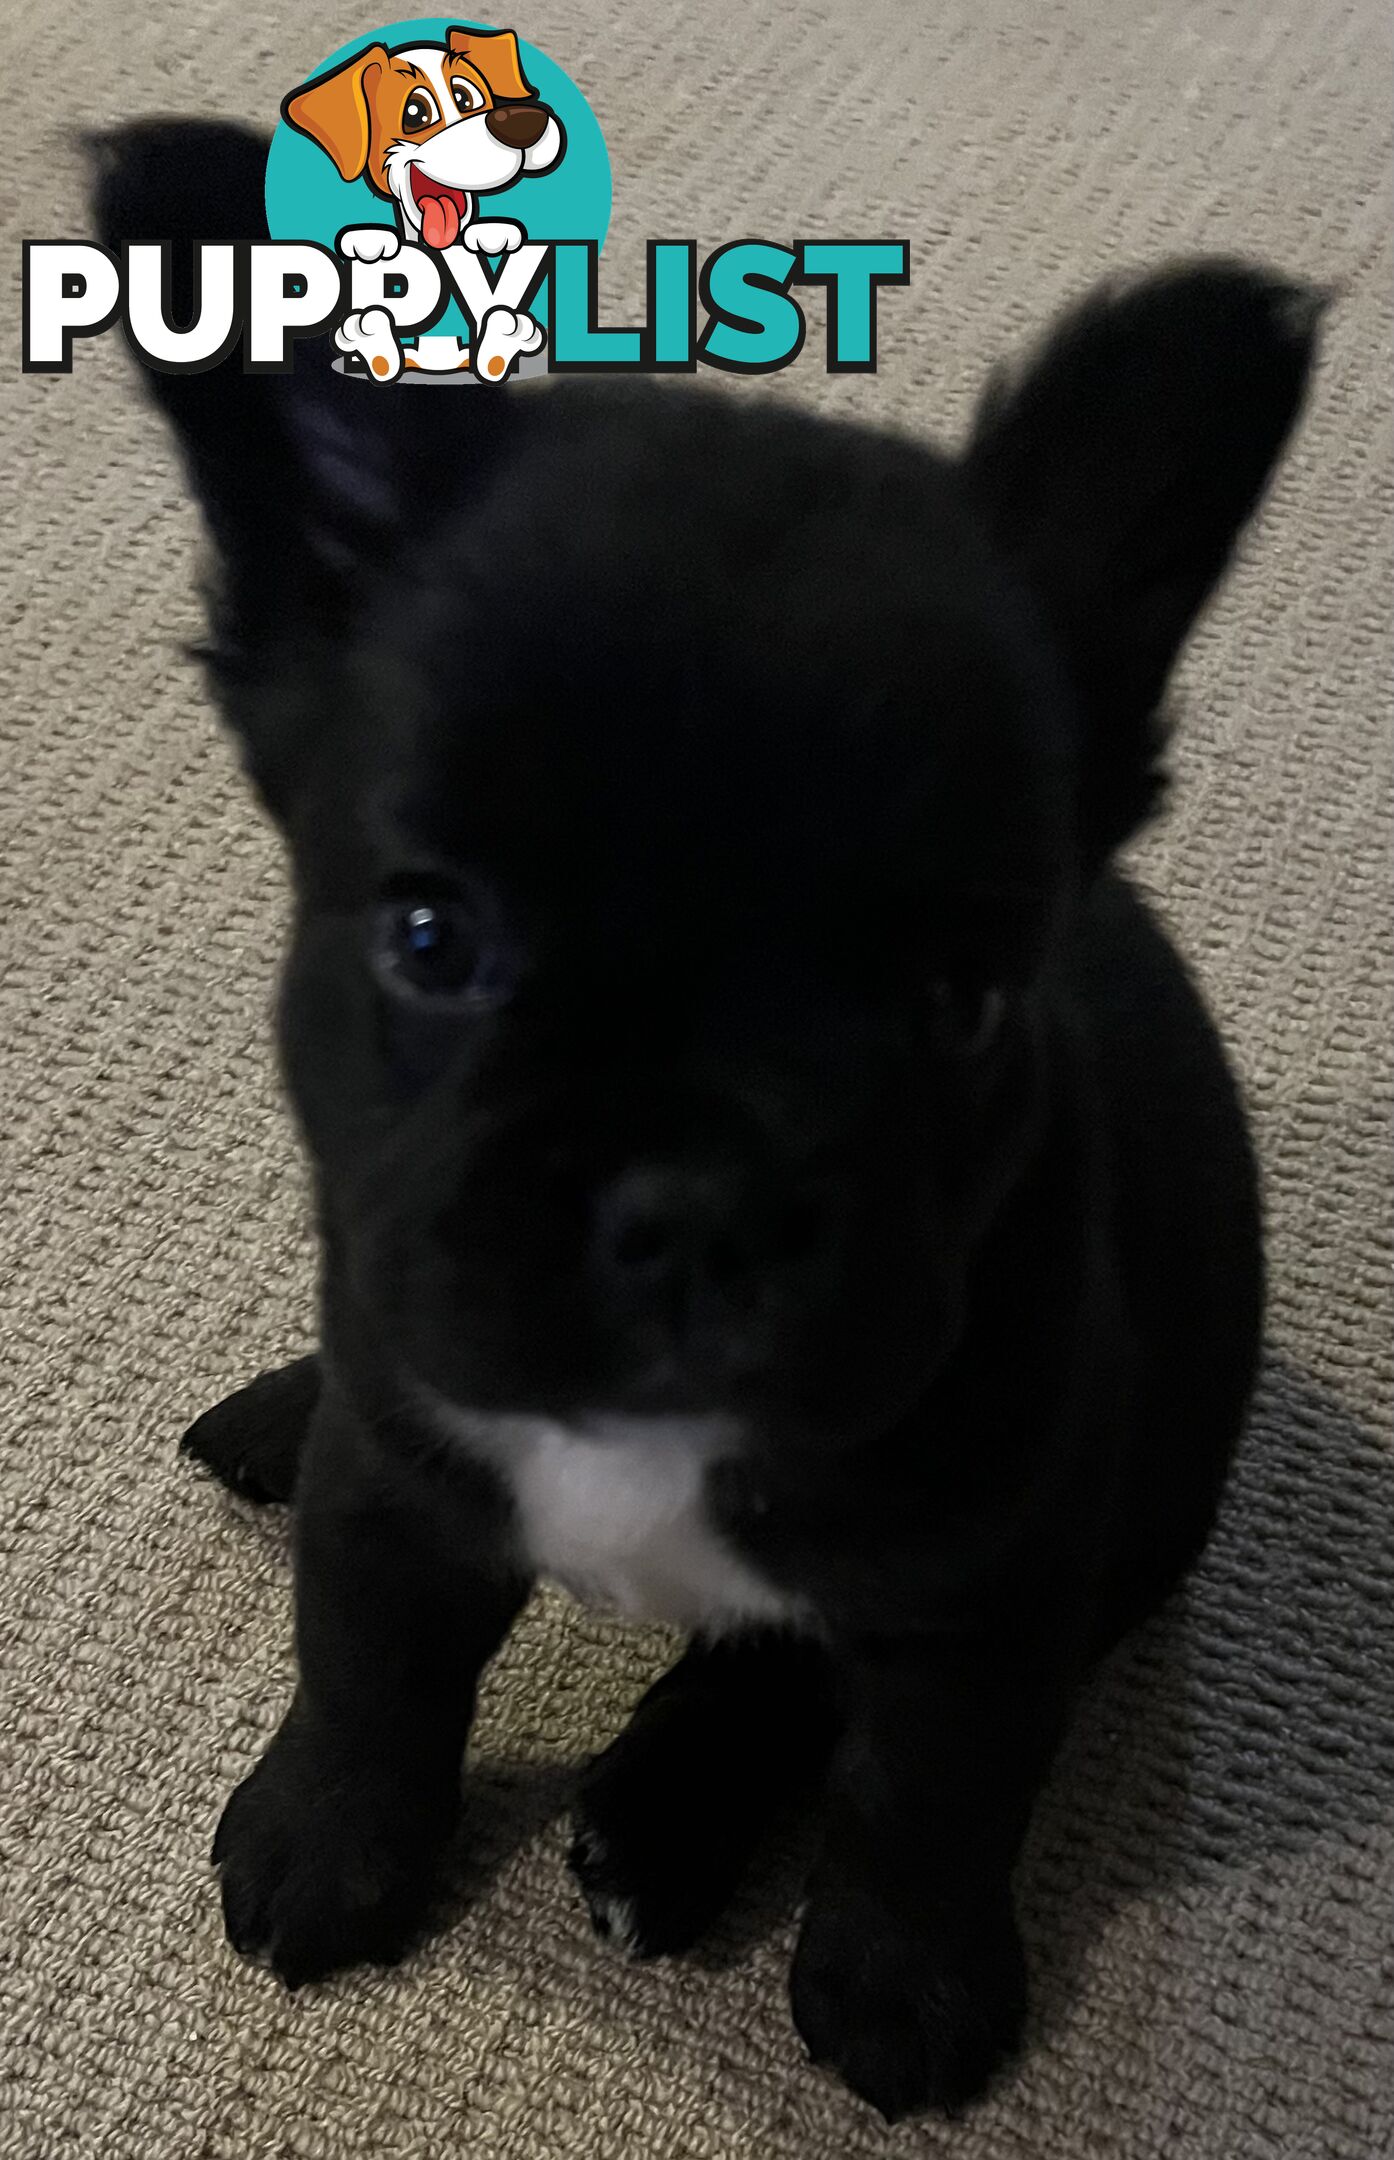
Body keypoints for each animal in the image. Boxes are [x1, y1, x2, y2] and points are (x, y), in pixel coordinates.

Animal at [95, 122, 1314, 2125]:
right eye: (430, 938)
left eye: (960, 1000)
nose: (689, 1200)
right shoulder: (399, 1488)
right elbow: (364, 1668)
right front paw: (322, 1844)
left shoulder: (986, 1596)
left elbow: (922, 1801)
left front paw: (904, 1984)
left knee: (779, 1684)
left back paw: (663, 1820)